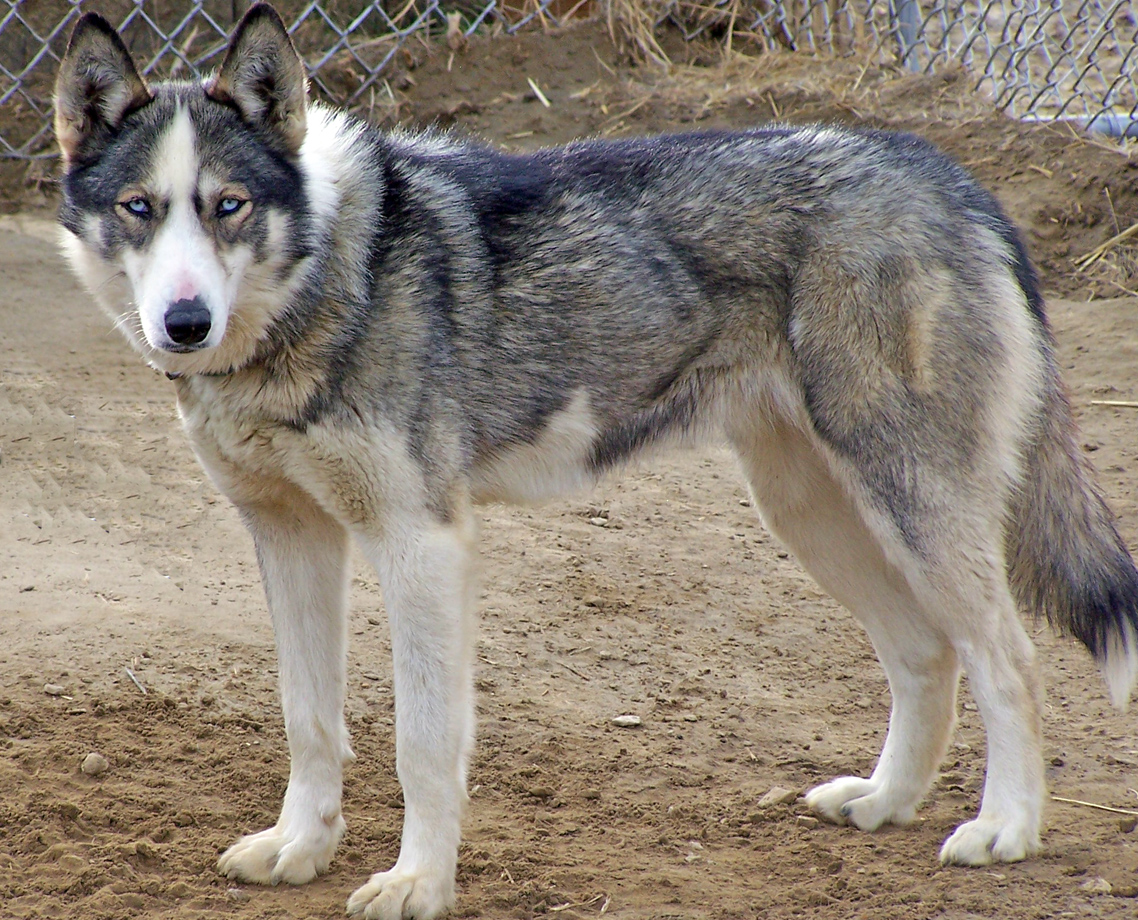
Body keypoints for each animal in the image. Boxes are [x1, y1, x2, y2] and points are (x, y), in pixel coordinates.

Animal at [55, 3, 1138, 915]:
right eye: (141, 209)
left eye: (229, 205)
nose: (184, 323)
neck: (327, 280)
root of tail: (949, 174)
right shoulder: (292, 541)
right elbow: (308, 720)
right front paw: (301, 849)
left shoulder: (420, 545)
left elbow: (421, 743)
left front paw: (417, 884)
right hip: (811, 511)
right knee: (925, 653)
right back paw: (883, 800)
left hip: (908, 506)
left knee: (1008, 657)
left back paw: (1005, 828)